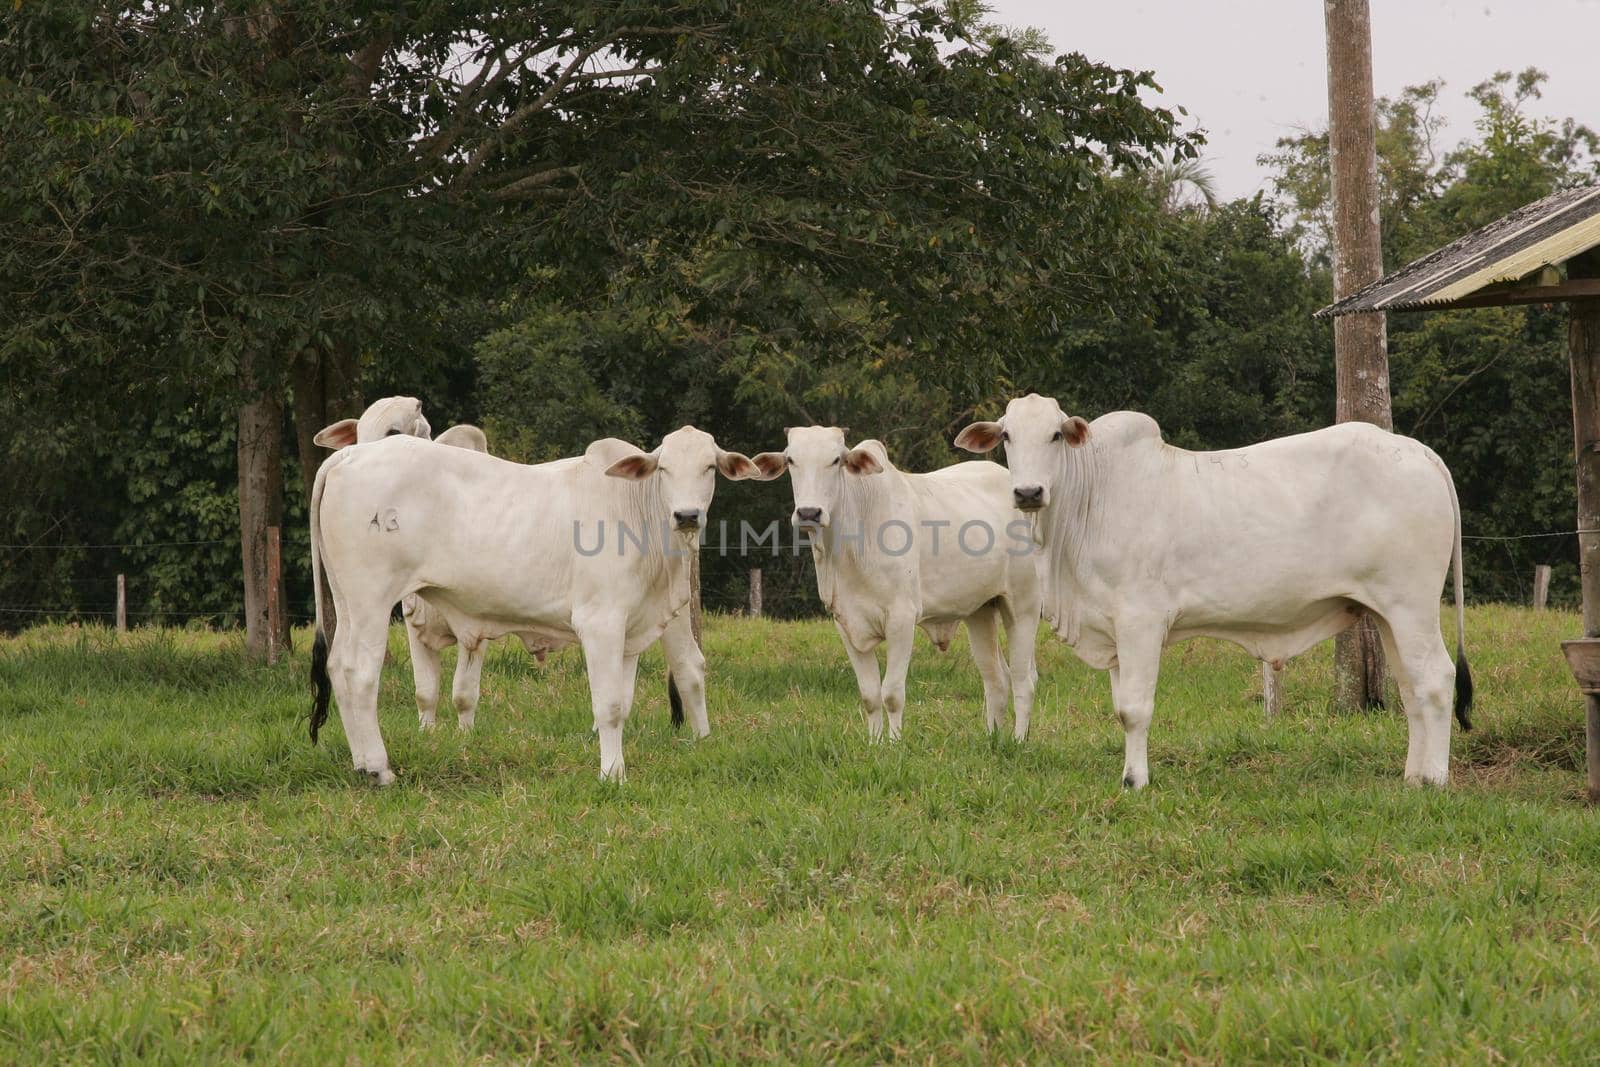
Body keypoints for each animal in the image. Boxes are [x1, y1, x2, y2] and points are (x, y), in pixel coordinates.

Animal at [315, 425, 764, 783]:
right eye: (664, 468)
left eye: (710, 468)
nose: (687, 515)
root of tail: (348, 454)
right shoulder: (600, 622)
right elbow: (609, 705)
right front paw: (611, 774)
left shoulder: (631, 630)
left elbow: (625, 701)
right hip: (371, 600)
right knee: (359, 672)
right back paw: (379, 769)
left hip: (347, 601)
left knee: (336, 667)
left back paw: (361, 762)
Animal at [752, 425, 1043, 742]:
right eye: (791, 460)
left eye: (836, 460)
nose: (808, 513)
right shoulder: (845, 623)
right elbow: (869, 696)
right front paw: (874, 743)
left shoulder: (901, 618)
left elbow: (891, 693)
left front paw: (894, 743)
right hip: (980, 612)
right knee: (996, 679)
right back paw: (992, 738)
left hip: (1023, 607)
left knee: (1023, 681)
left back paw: (1018, 740)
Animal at [953, 396, 1465, 790]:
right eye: (1006, 437)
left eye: (1056, 435)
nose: (1028, 492)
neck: (1092, 497)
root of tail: (1418, 451)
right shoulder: (1114, 633)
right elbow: (1121, 708)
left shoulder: (1141, 620)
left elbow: (1135, 709)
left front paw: (1135, 781)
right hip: (1385, 614)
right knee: (1411, 688)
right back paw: (1412, 777)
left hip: (1412, 606)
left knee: (1437, 679)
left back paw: (1436, 780)